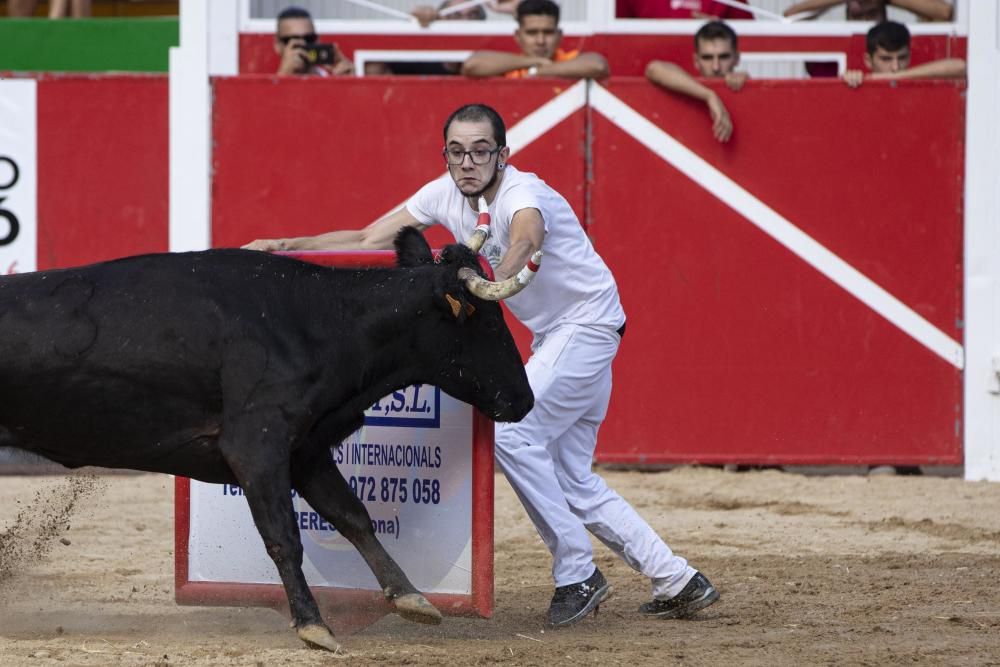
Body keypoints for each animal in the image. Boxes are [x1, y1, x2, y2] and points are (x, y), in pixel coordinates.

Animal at [0, 231, 532, 652]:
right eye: (488, 322)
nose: (523, 400)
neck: (323, 322)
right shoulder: (257, 448)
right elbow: (284, 537)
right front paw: (314, 626)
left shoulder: (307, 452)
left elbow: (355, 518)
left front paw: (411, 597)